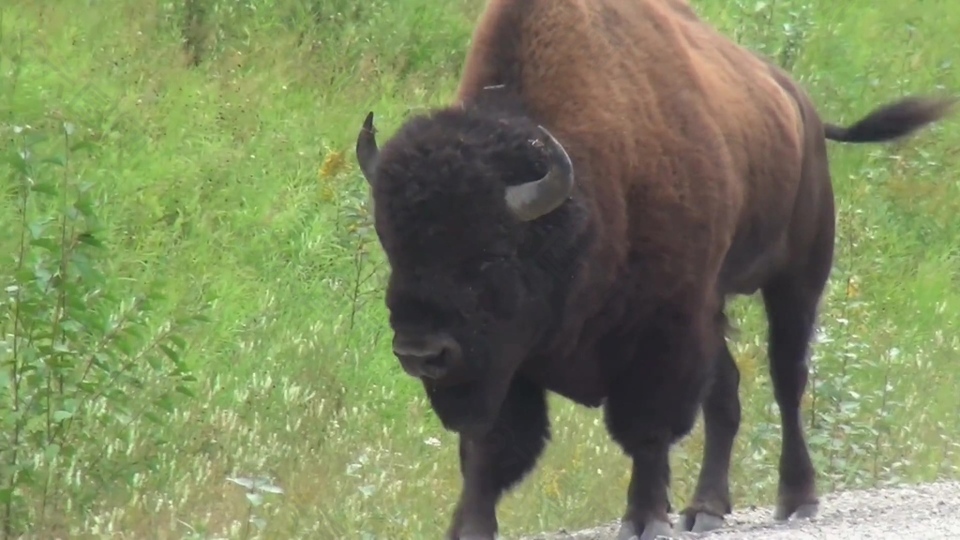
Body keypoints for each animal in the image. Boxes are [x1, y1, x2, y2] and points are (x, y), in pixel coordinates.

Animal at [350, 1, 952, 540]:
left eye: (491, 253)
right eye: (394, 247)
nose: (420, 351)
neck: (581, 201)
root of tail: (802, 107)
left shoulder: (660, 331)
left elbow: (646, 430)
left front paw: (644, 520)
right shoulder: (505, 362)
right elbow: (490, 444)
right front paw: (469, 527)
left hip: (796, 278)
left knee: (787, 381)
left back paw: (797, 498)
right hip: (716, 308)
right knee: (727, 393)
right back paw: (706, 509)